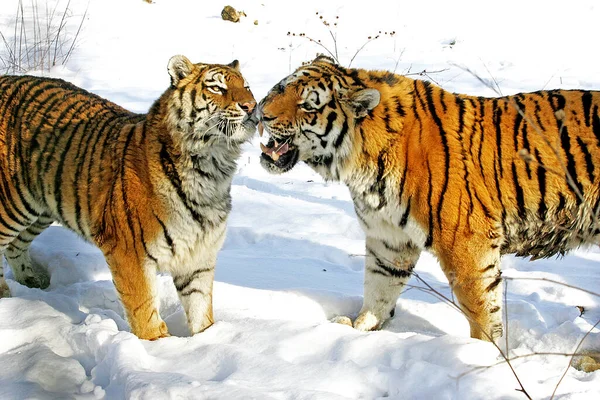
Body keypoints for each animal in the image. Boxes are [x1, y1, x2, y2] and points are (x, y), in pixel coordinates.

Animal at [0, 54, 255, 340]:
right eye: (217, 88)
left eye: (247, 86)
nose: (252, 106)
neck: (212, 169)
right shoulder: (128, 251)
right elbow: (143, 309)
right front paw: (158, 345)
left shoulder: (198, 256)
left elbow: (200, 308)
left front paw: (208, 340)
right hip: (11, 207)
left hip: (39, 207)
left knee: (15, 245)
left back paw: (32, 281)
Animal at [256, 53, 600, 340]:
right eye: (280, 88)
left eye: (308, 106)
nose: (261, 114)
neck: (360, 163)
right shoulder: (389, 238)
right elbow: (379, 287)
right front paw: (359, 328)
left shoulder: (467, 243)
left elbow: (481, 310)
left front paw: (483, 354)